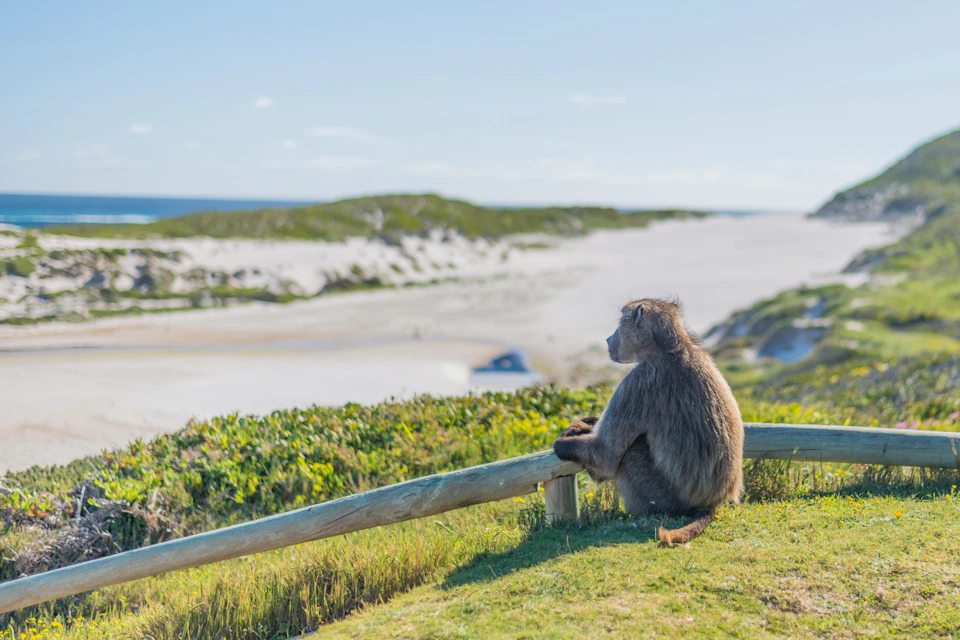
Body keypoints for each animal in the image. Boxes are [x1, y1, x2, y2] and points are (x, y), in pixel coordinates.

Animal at [553, 298, 743, 546]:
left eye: (620, 325)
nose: (608, 339)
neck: (671, 349)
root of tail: (709, 504)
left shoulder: (638, 382)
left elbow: (605, 454)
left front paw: (561, 444)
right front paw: (585, 423)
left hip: (660, 497)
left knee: (628, 454)